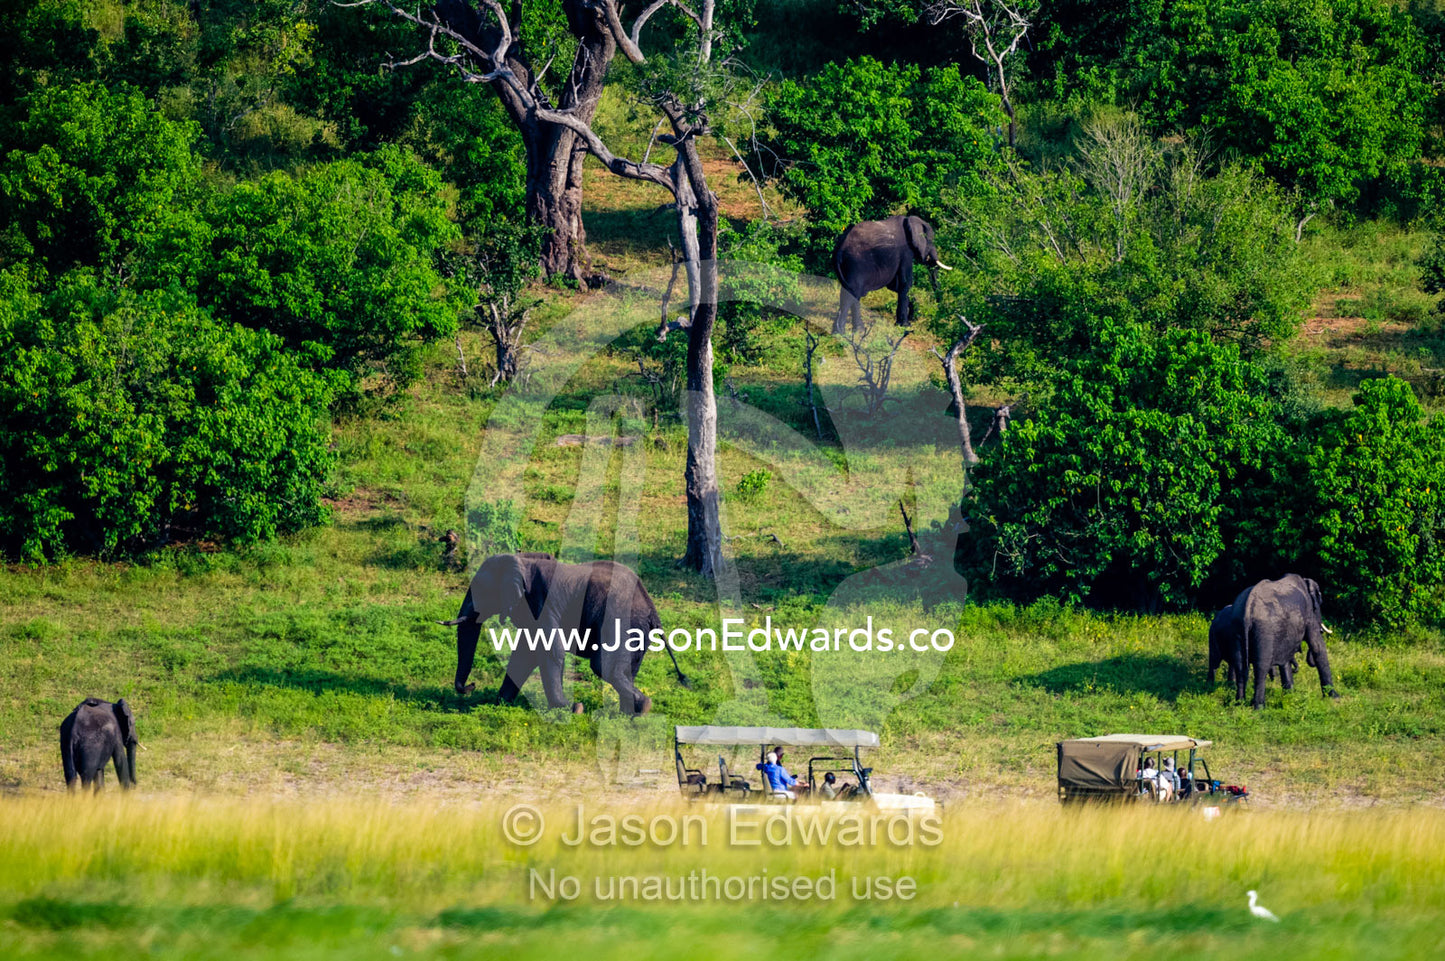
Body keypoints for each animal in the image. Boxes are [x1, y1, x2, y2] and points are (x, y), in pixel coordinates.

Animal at [444, 552, 689, 715]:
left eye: (479, 591)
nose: (470, 686)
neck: (521, 561)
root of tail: (652, 610)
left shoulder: (544, 603)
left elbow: (550, 651)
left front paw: (572, 709)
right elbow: (525, 654)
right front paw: (500, 704)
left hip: (619, 618)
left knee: (603, 665)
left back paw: (643, 707)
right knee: (625, 668)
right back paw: (628, 714)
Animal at [1228, 574, 1337, 708]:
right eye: (1320, 603)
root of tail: (1247, 608)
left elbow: (1285, 659)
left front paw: (1291, 696)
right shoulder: (1308, 613)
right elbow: (1317, 645)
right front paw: (1335, 697)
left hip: (1236, 628)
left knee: (1240, 667)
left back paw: (1239, 704)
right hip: (1264, 630)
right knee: (1261, 667)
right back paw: (1259, 707)